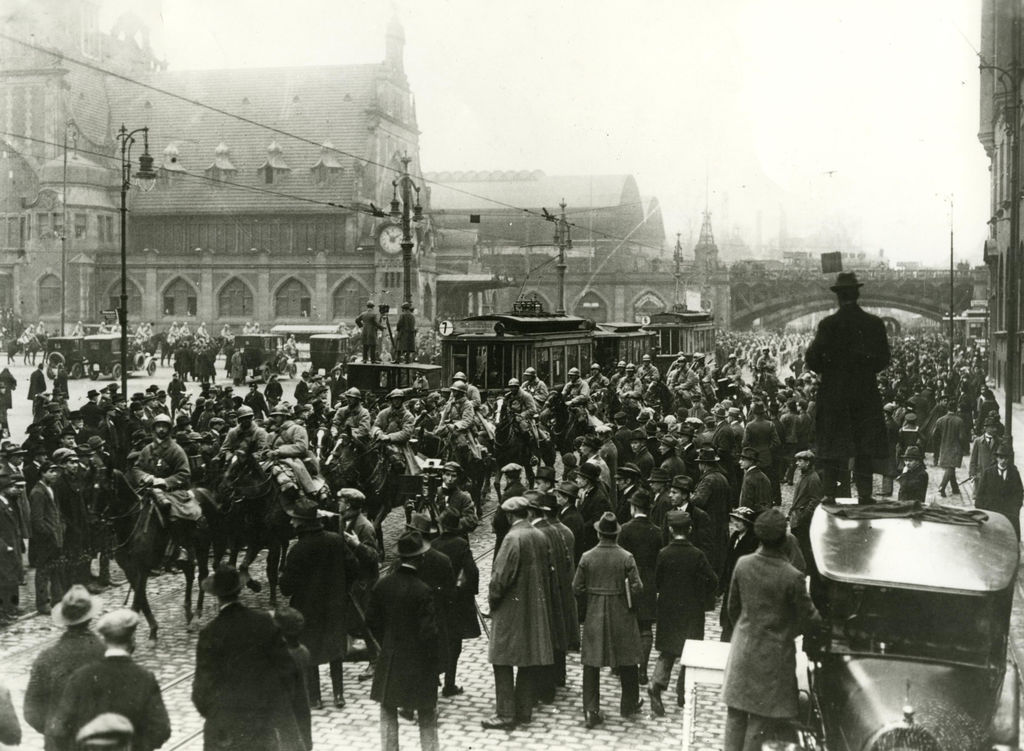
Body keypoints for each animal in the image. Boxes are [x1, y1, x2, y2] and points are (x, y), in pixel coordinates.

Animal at [99, 471, 216, 635]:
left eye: (105, 490)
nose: (96, 519)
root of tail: (202, 492)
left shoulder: (142, 568)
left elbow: (137, 600)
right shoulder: (129, 570)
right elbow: (141, 598)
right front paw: (152, 628)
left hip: (203, 547)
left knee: (202, 576)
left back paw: (196, 617)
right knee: (190, 573)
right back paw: (188, 612)